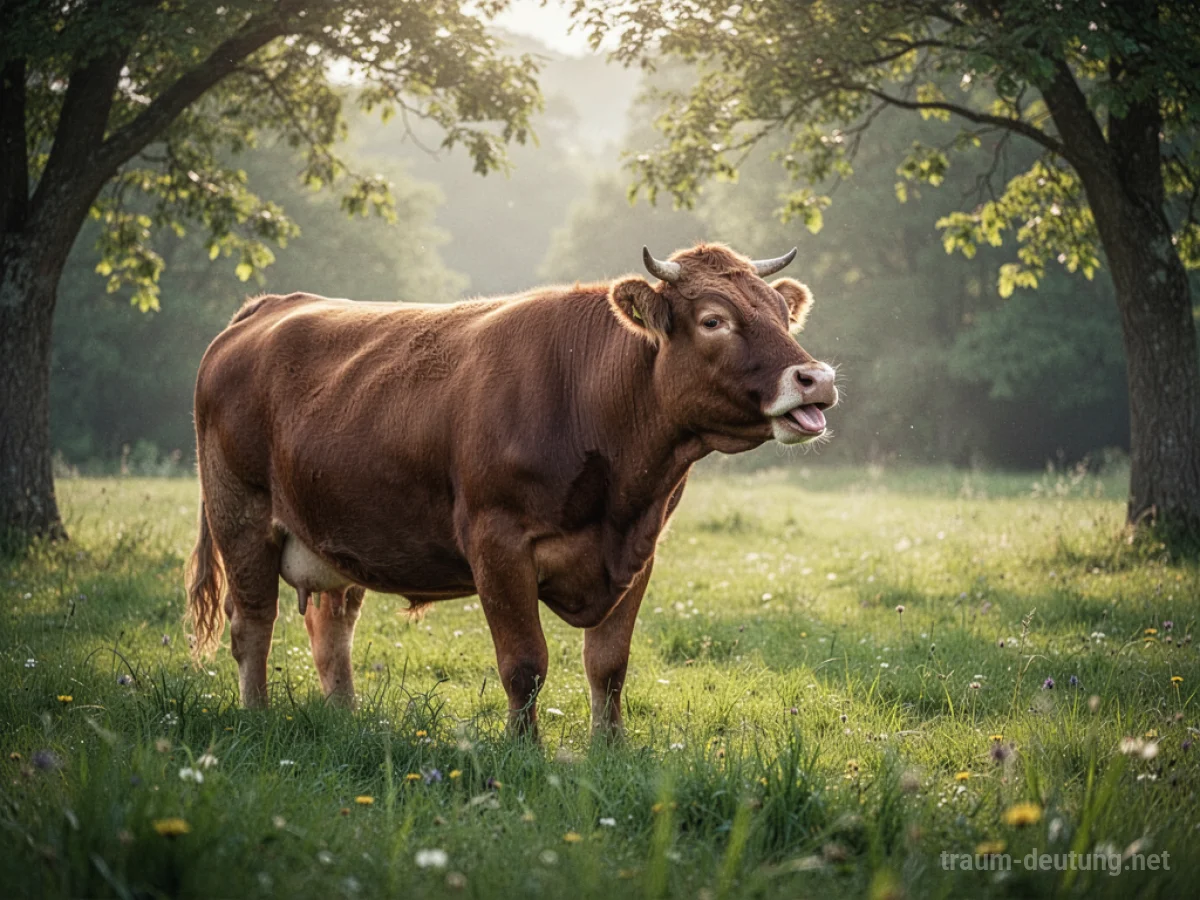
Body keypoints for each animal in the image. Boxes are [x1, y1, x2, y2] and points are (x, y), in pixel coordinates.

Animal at [186, 242, 837, 739]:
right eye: (713, 320)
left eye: (783, 314)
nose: (817, 378)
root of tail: (269, 307)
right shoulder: (497, 542)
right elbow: (525, 663)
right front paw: (525, 752)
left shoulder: (640, 548)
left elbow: (609, 665)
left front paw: (610, 749)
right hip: (240, 512)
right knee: (252, 622)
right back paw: (256, 716)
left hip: (336, 532)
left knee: (331, 632)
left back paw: (347, 721)